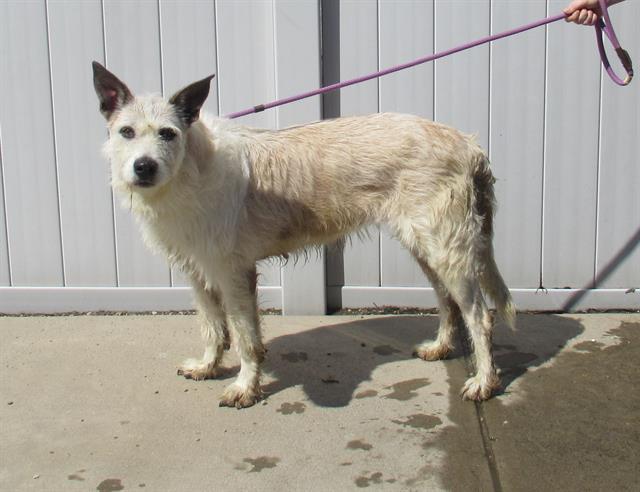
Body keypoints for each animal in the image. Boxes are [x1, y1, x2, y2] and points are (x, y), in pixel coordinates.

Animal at [92, 60, 516, 408]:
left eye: (168, 133)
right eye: (126, 132)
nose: (144, 167)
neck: (191, 170)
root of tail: (468, 144)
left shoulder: (234, 272)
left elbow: (245, 337)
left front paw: (245, 387)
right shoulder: (197, 270)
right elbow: (213, 328)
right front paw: (209, 366)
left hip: (447, 248)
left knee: (479, 315)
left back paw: (484, 381)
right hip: (426, 248)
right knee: (448, 302)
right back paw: (441, 347)